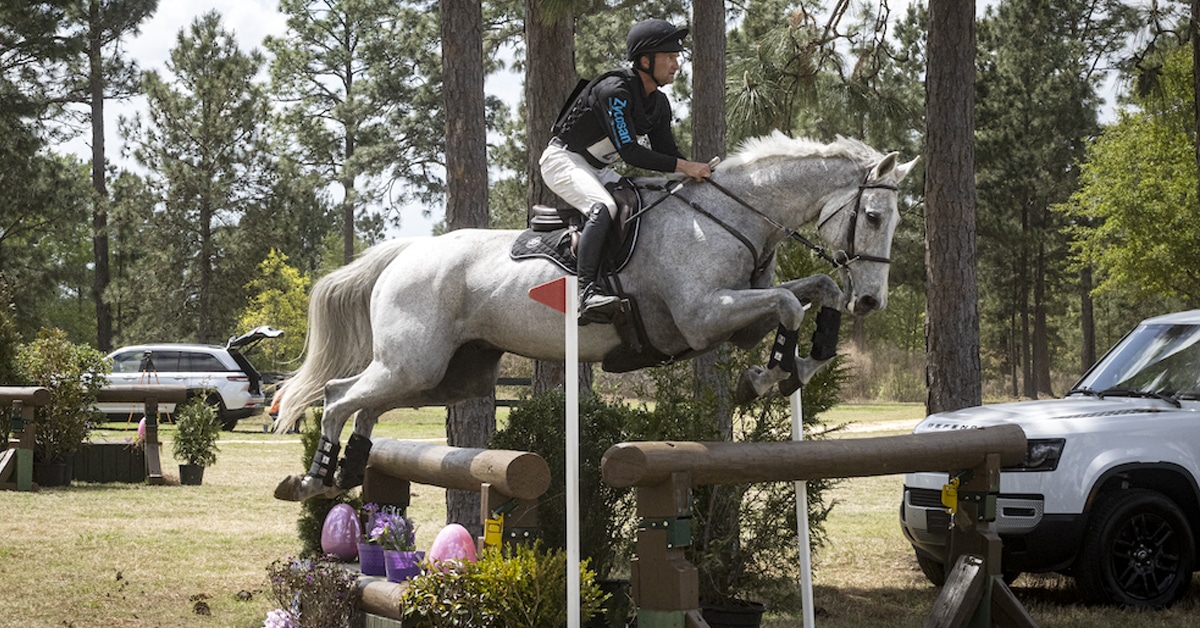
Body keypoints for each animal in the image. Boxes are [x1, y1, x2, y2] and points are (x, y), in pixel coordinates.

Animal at [273, 131, 917, 501]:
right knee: (337, 395)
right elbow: (787, 302)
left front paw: (794, 368)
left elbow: (815, 291)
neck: (732, 215)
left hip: (448, 376)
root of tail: (406, 251)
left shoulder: (739, 316)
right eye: (875, 217)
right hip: (414, 363)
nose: (872, 302)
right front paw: (767, 378)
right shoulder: (703, 316)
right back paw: (313, 480)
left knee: (365, 402)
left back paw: (348, 470)